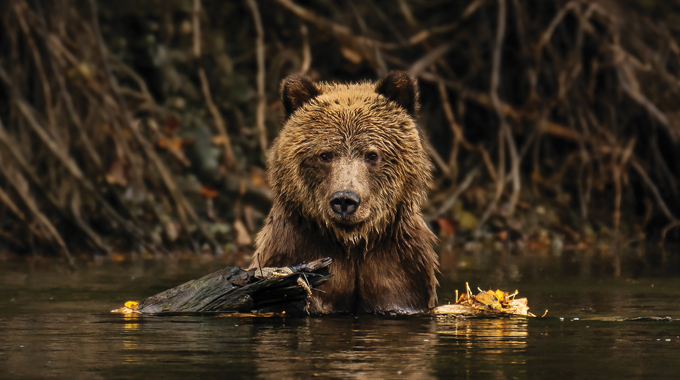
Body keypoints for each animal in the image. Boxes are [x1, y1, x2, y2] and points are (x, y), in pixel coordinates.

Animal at [252, 71, 438, 314]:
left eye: (372, 155)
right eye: (325, 155)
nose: (344, 200)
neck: (351, 244)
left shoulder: (400, 270)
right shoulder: (294, 252)